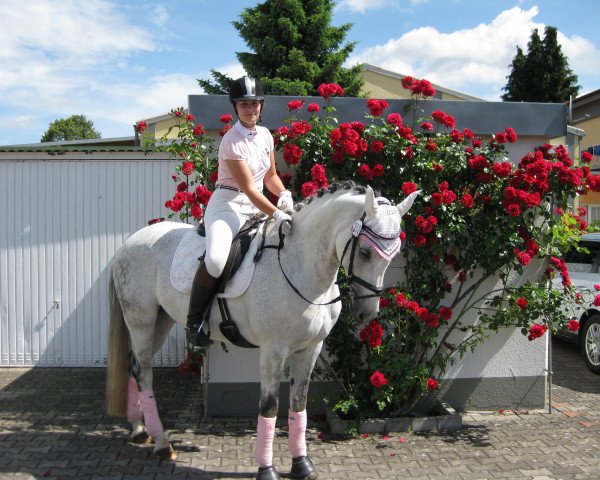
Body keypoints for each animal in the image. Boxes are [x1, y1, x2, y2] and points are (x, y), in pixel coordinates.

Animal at [106, 182, 418, 478]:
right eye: (365, 252)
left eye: (394, 255)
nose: (367, 313)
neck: (299, 266)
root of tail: (129, 242)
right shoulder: (273, 350)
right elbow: (269, 406)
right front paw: (267, 470)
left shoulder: (310, 349)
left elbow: (298, 403)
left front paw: (302, 464)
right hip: (141, 320)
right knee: (144, 371)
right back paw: (161, 443)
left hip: (162, 320)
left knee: (135, 366)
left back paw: (139, 430)